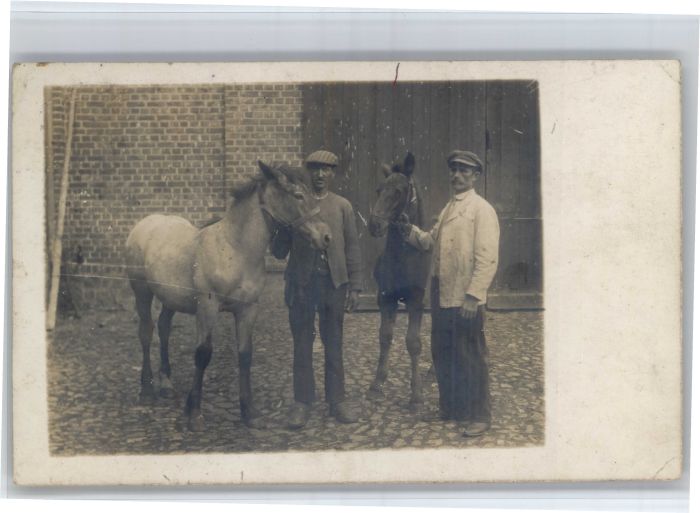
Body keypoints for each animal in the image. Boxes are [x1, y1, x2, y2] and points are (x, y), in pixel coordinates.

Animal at [125, 161, 331, 431]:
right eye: (298, 195)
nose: (325, 236)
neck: (235, 249)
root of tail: (144, 224)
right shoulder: (207, 307)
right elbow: (203, 354)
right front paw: (194, 413)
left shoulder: (248, 309)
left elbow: (245, 354)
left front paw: (249, 412)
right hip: (141, 292)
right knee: (146, 333)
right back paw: (147, 389)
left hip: (170, 298)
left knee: (164, 328)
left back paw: (166, 383)